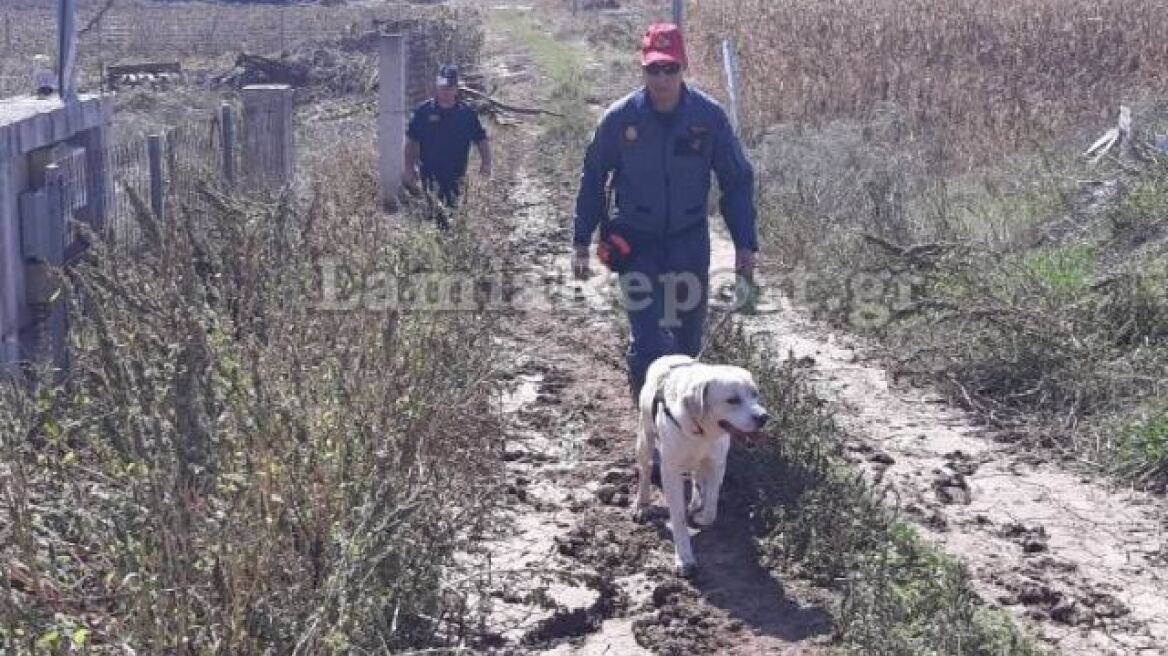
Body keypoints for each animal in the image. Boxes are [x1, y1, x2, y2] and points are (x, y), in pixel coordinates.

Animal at [635, 352, 770, 571]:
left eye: (755, 394)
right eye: (732, 400)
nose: (763, 417)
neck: (702, 433)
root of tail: (669, 356)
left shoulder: (717, 463)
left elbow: (712, 503)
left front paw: (701, 516)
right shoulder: (670, 472)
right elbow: (678, 518)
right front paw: (684, 558)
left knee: (698, 479)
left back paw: (695, 503)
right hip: (645, 441)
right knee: (645, 472)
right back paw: (642, 505)